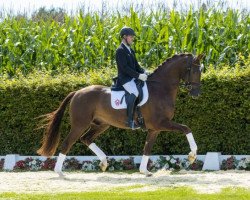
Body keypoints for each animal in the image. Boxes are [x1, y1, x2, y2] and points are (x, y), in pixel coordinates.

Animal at [38, 53, 204, 177]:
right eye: (194, 71)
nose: (196, 94)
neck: (161, 88)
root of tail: (77, 92)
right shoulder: (161, 123)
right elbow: (186, 128)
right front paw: (192, 155)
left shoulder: (154, 129)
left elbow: (147, 148)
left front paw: (144, 171)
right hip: (80, 124)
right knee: (67, 143)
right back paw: (59, 172)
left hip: (102, 124)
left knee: (86, 139)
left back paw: (104, 162)